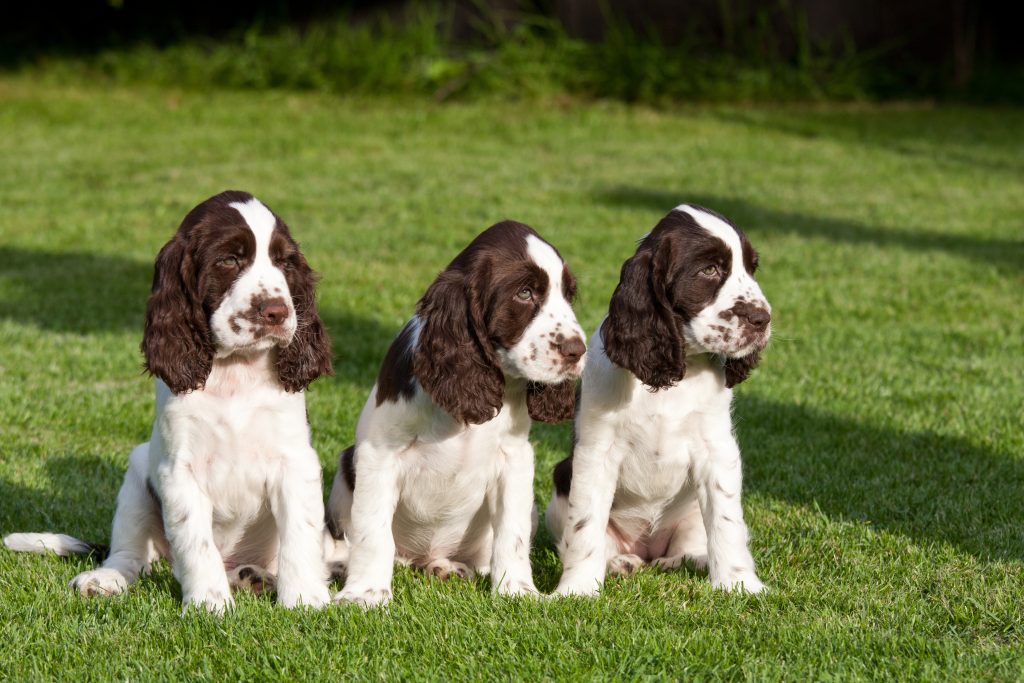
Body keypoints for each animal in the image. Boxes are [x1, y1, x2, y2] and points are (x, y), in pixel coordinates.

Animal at [4, 191, 331, 614]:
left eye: (285, 262)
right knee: (129, 556)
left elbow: (300, 535)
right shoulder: (179, 470)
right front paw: (209, 604)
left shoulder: (295, 461)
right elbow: (195, 540)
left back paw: (254, 577)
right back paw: (105, 579)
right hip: (136, 474)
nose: (277, 312)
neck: (235, 372)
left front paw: (306, 599)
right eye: (229, 260)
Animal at [325, 222, 585, 606]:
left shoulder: (515, 458)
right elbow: (373, 531)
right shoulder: (379, 455)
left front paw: (517, 590)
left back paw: (447, 567)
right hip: (346, 471)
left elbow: (513, 531)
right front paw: (365, 593)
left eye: (568, 294)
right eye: (524, 293)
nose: (577, 351)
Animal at [548, 204, 770, 598]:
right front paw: (577, 589)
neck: (673, 375)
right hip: (561, 481)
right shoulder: (596, 452)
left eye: (751, 267)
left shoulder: (717, 448)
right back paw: (618, 563)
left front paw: (739, 583)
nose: (763, 319)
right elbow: (585, 525)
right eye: (709, 270)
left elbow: (727, 521)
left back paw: (690, 559)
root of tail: (646, 549)